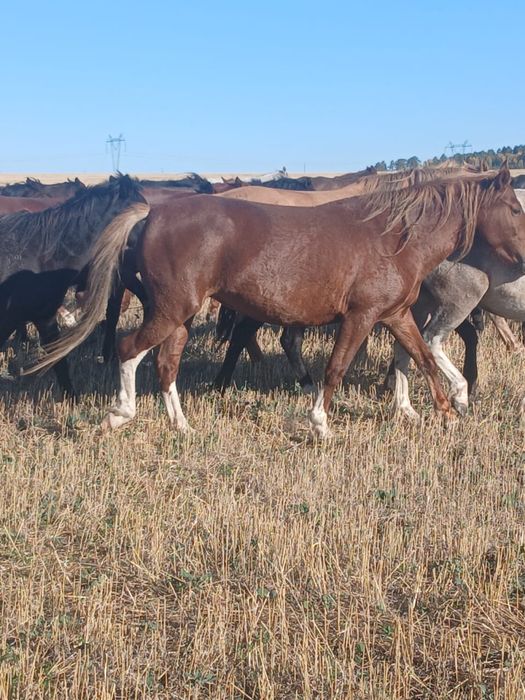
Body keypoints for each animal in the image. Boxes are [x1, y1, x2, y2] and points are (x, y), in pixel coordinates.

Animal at [32, 165, 525, 437]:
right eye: (517, 208)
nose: (523, 260)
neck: (392, 237)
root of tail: (150, 213)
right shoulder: (361, 316)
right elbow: (337, 368)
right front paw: (320, 424)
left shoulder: (396, 315)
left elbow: (422, 357)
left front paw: (448, 412)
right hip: (172, 310)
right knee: (129, 348)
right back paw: (120, 413)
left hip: (179, 316)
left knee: (166, 363)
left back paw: (181, 425)